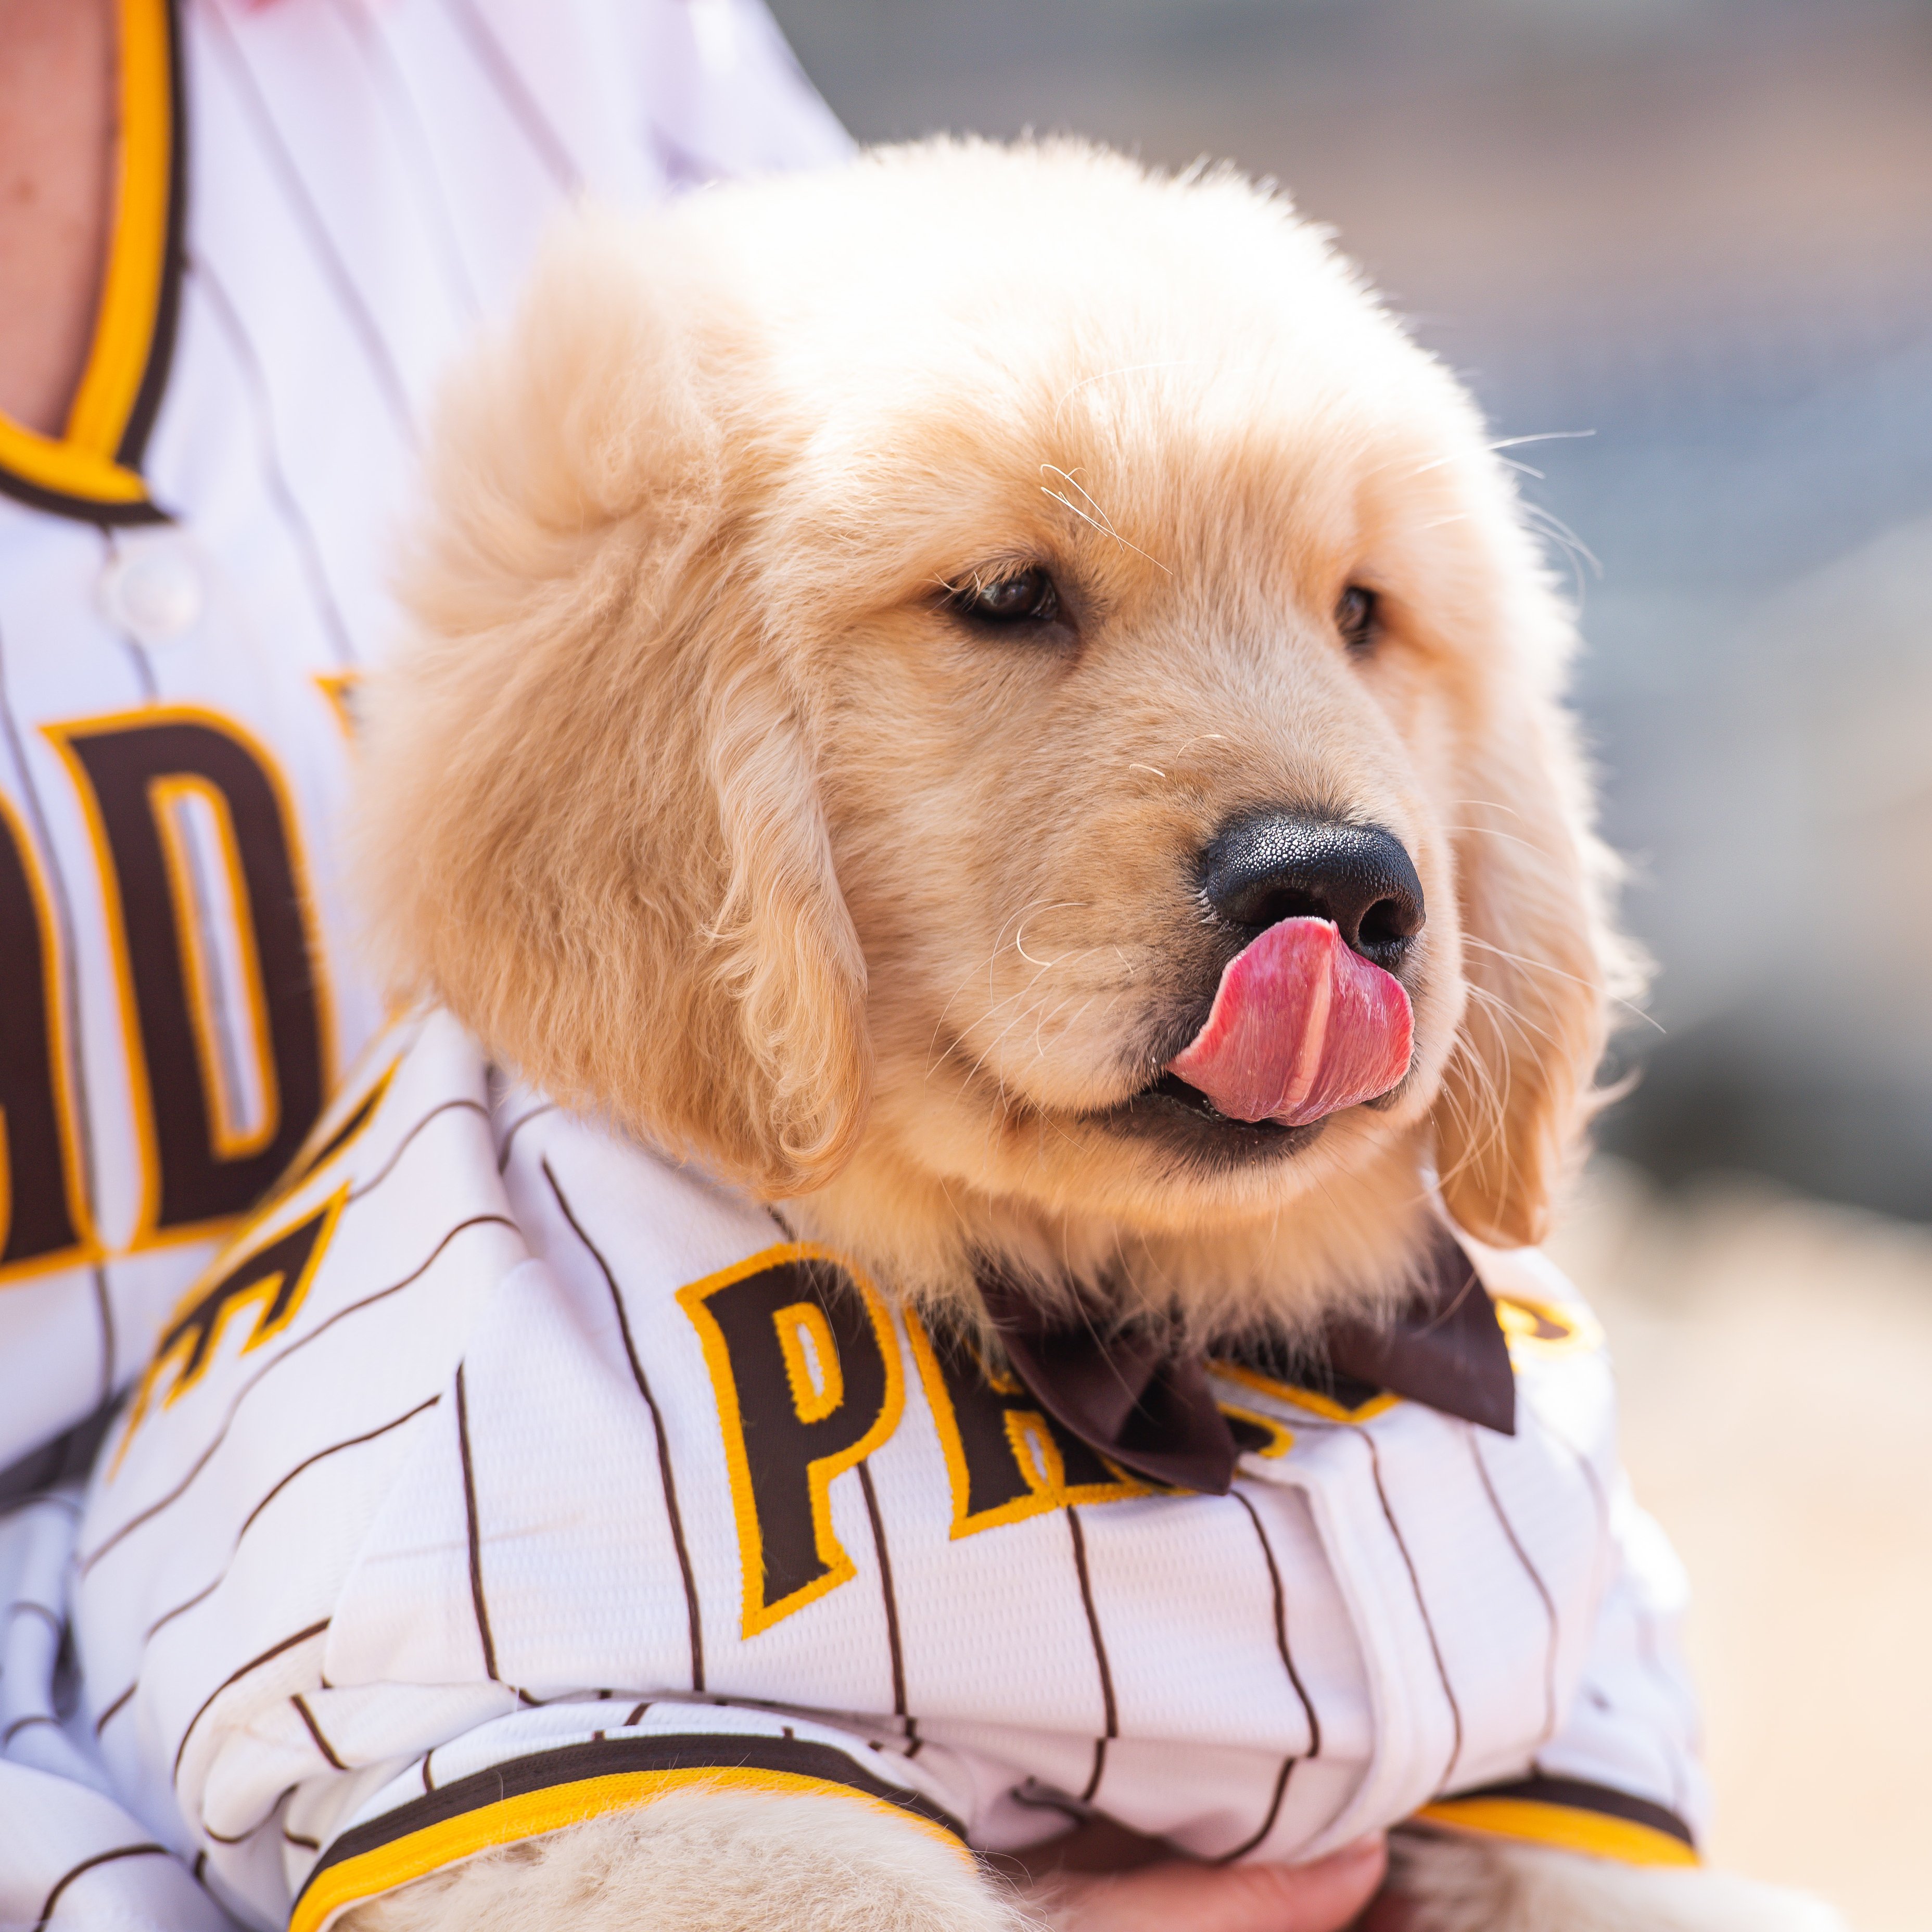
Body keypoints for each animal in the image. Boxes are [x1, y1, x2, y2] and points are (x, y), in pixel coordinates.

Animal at [280, 140, 1831, 1932]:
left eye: (1362, 613)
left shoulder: (1564, 1735)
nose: (1340, 887)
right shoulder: (572, 1741)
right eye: (1009, 598)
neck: (1144, 1331)